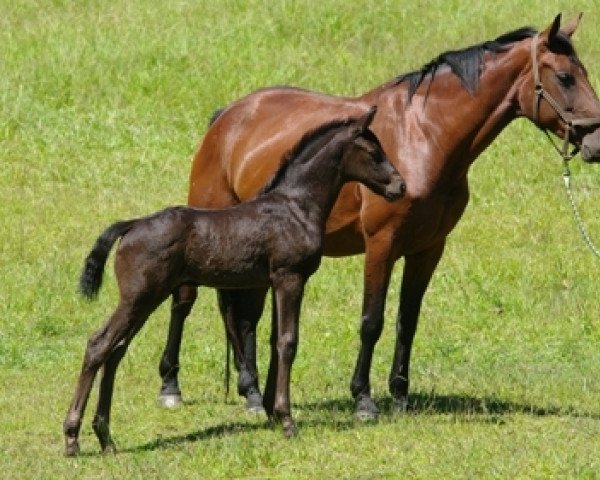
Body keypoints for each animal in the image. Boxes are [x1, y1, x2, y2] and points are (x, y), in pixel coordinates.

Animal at [63, 109, 406, 458]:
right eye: (374, 152)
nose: (400, 186)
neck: (296, 205)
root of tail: (131, 226)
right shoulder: (290, 277)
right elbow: (288, 342)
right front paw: (286, 420)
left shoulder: (275, 281)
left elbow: (275, 339)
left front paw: (271, 412)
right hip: (138, 297)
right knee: (98, 345)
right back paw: (73, 437)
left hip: (145, 299)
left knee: (115, 352)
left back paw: (106, 439)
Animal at [157, 15, 600, 420]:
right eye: (564, 77)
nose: (595, 141)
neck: (423, 135)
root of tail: (226, 117)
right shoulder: (381, 244)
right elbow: (372, 320)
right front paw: (364, 400)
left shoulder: (428, 249)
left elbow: (408, 320)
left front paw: (400, 395)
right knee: (186, 299)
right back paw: (171, 386)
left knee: (243, 315)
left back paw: (250, 393)